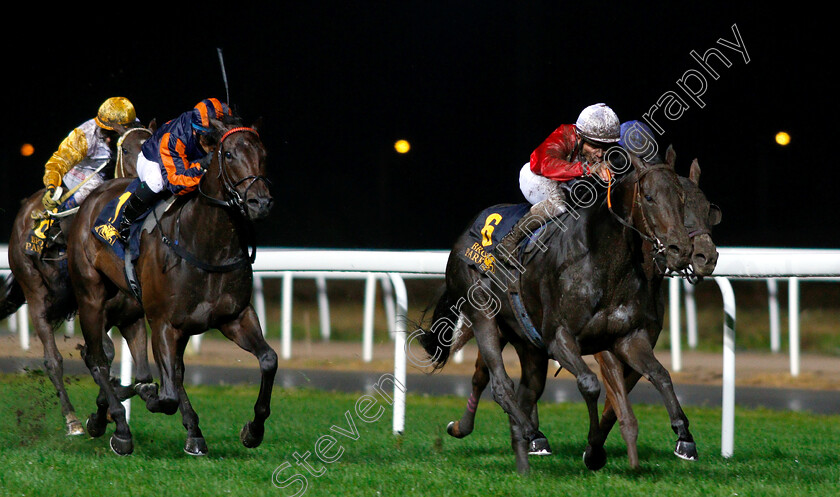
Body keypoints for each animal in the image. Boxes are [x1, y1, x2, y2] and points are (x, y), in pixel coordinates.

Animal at [0, 124, 154, 434]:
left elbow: (133, 373)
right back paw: (71, 419)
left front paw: (111, 404)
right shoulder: (91, 307)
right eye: (126, 149)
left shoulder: (128, 312)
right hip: (35, 292)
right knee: (52, 360)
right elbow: (101, 354)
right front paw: (104, 412)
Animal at [416, 148, 696, 472]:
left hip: (527, 344)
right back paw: (527, 431)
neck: (602, 261)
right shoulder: (559, 338)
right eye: (649, 197)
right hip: (483, 313)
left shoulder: (628, 338)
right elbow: (589, 383)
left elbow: (660, 375)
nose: (680, 249)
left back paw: (522, 459)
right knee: (499, 384)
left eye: (682, 198)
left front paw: (684, 437)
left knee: (527, 390)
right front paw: (594, 450)